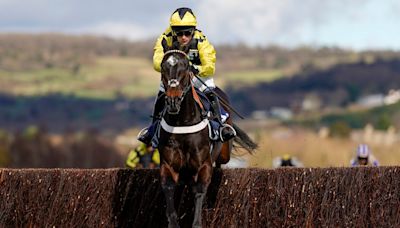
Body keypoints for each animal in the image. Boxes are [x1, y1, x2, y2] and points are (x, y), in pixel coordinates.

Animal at [157, 48, 256, 228]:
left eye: (185, 67)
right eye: (163, 67)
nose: (173, 100)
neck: (182, 122)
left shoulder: (203, 165)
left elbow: (199, 191)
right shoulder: (169, 164)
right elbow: (169, 189)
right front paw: (173, 221)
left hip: (224, 154)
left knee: (219, 164)